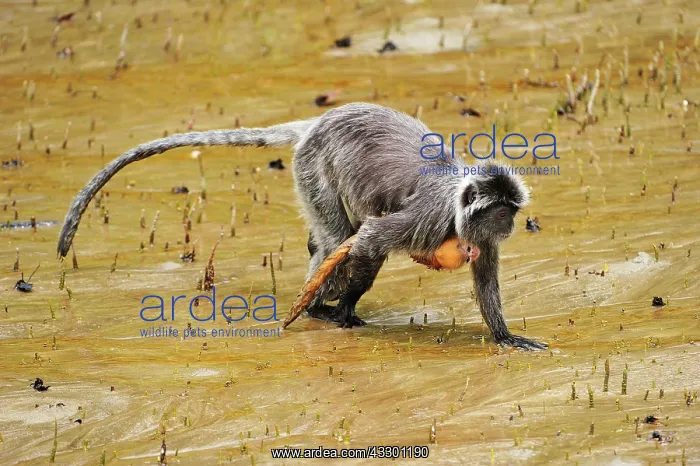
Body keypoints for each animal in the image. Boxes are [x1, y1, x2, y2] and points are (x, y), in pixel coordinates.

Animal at [57, 102, 547, 350]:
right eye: (501, 212)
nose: (510, 225)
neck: (457, 198)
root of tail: (316, 123)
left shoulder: (478, 239)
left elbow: (484, 275)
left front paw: (503, 336)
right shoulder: (430, 216)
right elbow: (370, 241)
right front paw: (345, 309)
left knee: (331, 239)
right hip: (313, 166)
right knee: (338, 238)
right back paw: (317, 309)